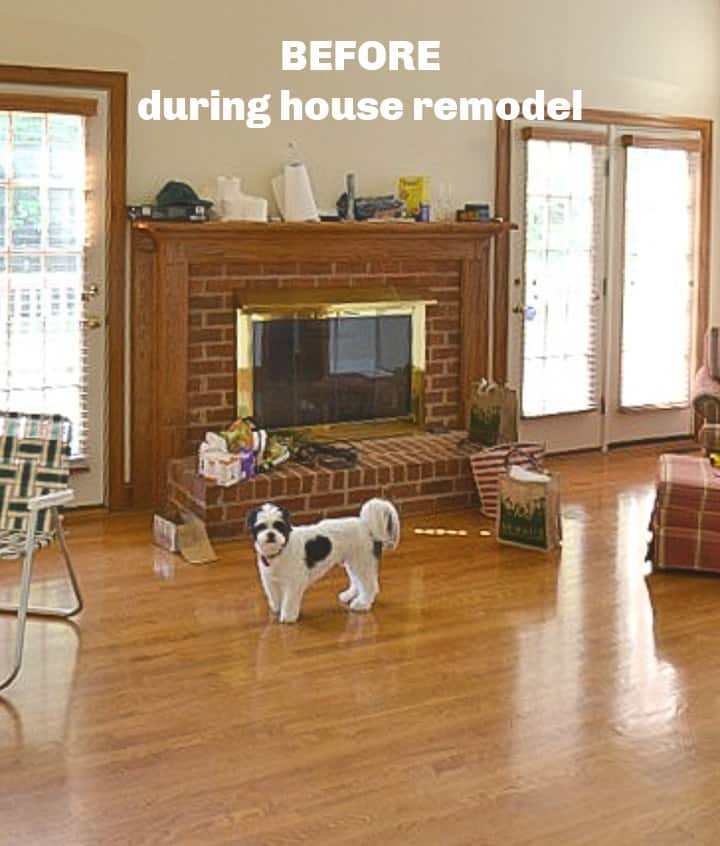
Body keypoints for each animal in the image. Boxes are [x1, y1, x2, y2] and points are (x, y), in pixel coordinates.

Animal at [248, 496, 400, 624]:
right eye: (261, 526)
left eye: (279, 526)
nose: (271, 534)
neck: (281, 549)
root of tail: (366, 525)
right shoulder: (270, 580)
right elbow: (274, 596)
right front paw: (277, 608)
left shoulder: (294, 581)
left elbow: (290, 599)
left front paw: (288, 616)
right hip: (354, 561)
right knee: (358, 581)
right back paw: (348, 595)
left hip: (362, 560)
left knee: (370, 585)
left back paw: (362, 604)